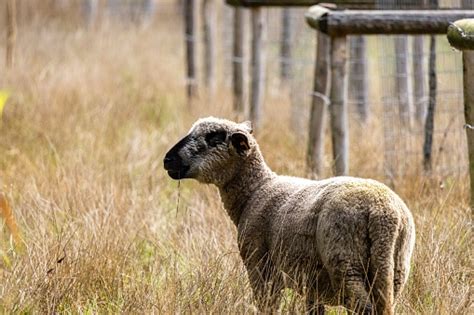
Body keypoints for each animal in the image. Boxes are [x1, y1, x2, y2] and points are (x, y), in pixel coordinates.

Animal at [163, 117, 414, 314]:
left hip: (346, 263)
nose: (167, 160)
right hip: (393, 269)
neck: (256, 190)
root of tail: (384, 213)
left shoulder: (260, 268)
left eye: (213, 137)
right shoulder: (312, 285)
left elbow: (268, 308)